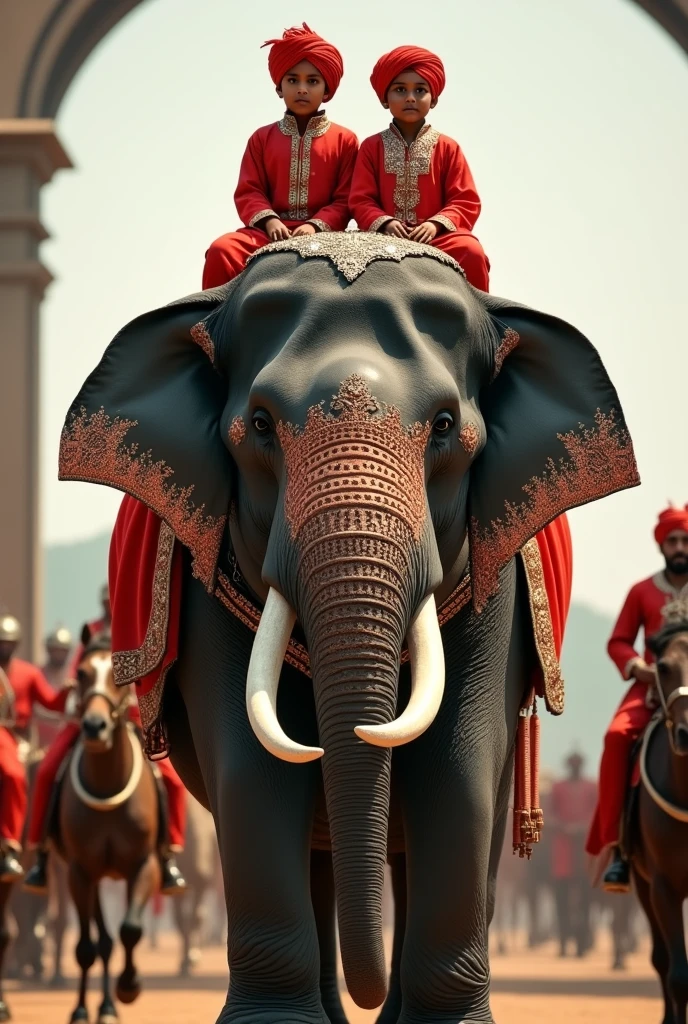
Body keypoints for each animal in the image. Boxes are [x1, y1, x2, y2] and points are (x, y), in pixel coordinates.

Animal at [52, 630, 161, 1024]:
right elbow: (86, 947)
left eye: (119, 677)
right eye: (81, 674)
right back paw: (100, 1006)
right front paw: (81, 1009)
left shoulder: (144, 865)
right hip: (93, 877)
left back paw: (112, 1003)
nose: (94, 727)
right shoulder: (80, 872)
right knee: (100, 942)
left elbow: (131, 929)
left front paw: (129, 986)